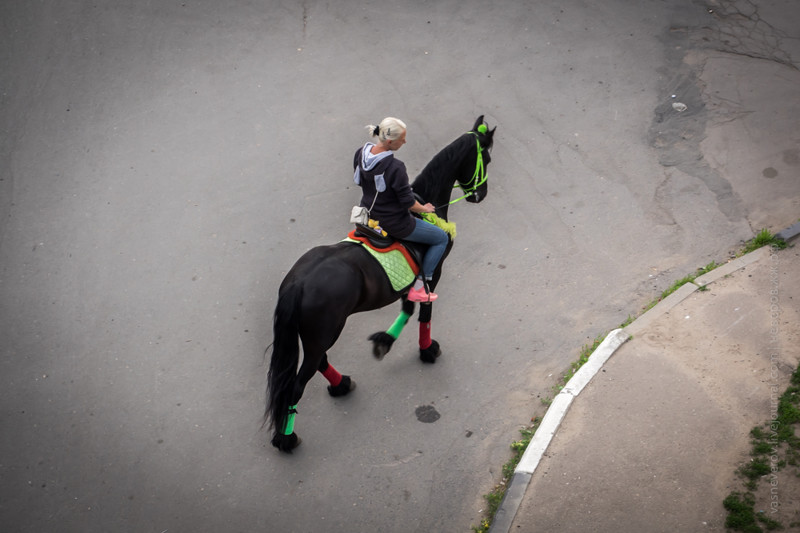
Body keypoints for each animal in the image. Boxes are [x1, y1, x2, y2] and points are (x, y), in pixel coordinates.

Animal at [268, 115, 494, 448]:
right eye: (486, 159)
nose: (480, 194)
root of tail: (298, 283)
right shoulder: (433, 272)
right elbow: (423, 312)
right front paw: (426, 349)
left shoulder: (407, 282)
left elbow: (408, 309)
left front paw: (384, 341)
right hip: (324, 331)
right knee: (299, 383)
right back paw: (287, 438)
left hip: (311, 334)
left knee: (319, 361)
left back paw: (341, 384)